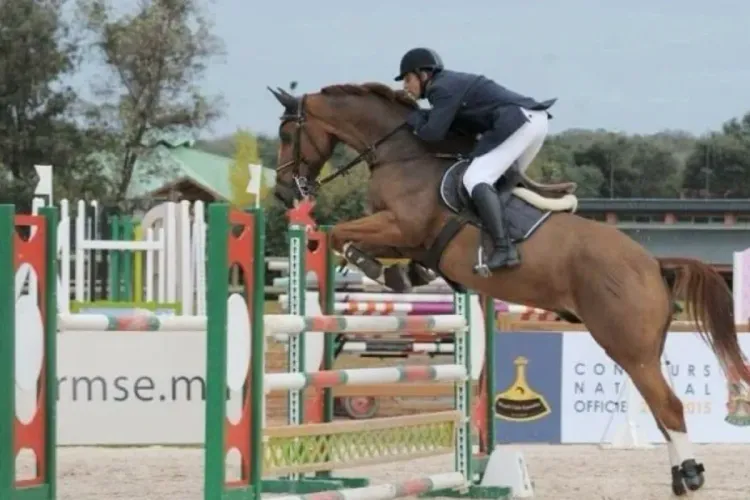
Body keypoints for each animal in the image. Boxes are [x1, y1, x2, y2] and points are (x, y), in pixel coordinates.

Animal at [268, 81, 750, 496]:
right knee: (661, 410)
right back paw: (680, 477)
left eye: (287, 133)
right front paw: (406, 275)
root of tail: (652, 263)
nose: (282, 193)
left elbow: (339, 234)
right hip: (644, 348)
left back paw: (690, 477)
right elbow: (372, 247)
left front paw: (374, 267)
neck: (404, 156)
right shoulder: (405, 239)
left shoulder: (400, 226)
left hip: (627, 346)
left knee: (669, 407)